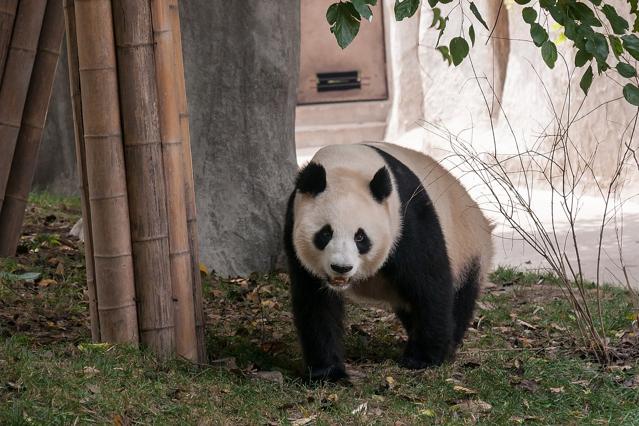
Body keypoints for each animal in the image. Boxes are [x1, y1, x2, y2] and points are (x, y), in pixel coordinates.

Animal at [284, 141, 496, 382]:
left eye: (360, 237)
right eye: (325, 233)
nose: (341, 268)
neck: (346, 166)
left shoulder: (406, 218)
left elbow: (429, 285)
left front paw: (423, 359)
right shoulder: (293, 226)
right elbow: (316, 303)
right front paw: (328, 373)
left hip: (469, 249)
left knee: (460, 297)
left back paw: (448, 344)